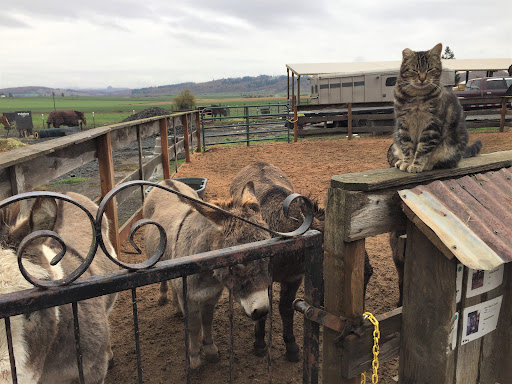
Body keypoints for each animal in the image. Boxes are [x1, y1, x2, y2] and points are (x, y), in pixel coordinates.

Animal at [390, 42, 482, 173]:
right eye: (414, 70)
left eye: (430, 69)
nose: (422, 78)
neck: (417, 96)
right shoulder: (403, 125)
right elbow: (407, 147)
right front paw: (407, 162)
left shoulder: (431, 125)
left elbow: (422, 150)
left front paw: (416, 165)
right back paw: (400, 161)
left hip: (451, 146)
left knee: (447, 162)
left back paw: (428, 165)